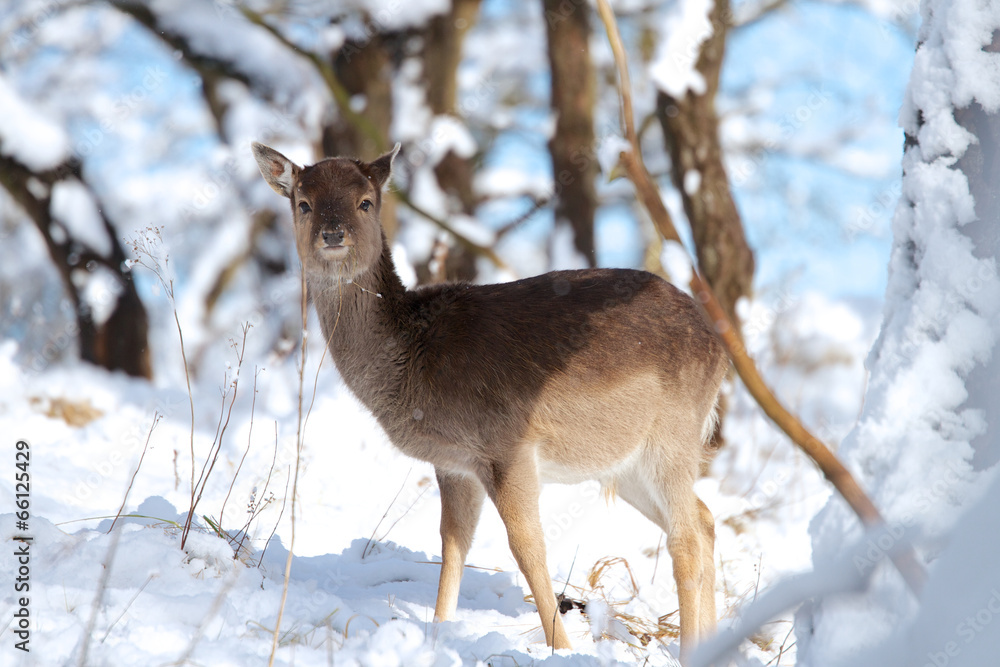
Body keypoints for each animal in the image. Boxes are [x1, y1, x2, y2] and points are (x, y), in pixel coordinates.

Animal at [252, 141, 727, 663]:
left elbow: (526, 547)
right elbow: (453, 541)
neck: (414, 360)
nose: (332, 234)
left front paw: (562, 648)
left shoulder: (508, 445)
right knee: (705, 521)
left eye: (365, 201)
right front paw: (438, 634)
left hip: (671, 436)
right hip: (627, 464)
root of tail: (720, 347)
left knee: (686, 538)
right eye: (303, 203)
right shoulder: (454, 463)